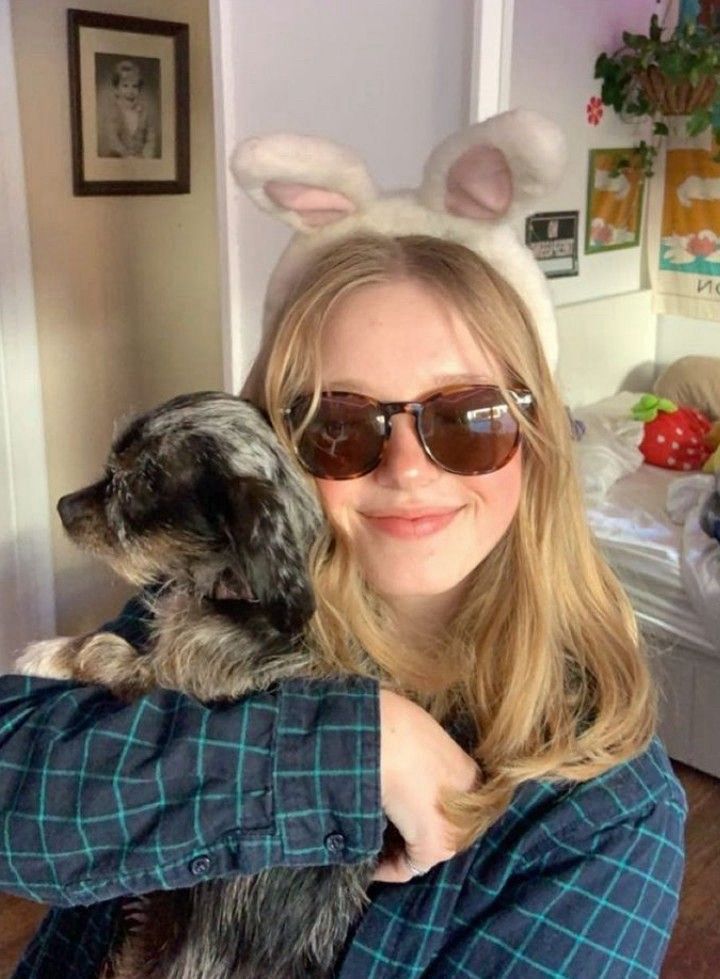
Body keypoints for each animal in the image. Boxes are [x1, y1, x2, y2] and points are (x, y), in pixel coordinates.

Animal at [16, 390, 377, 979]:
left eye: (140, 481)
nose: (64, 506)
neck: (240, 596)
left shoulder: (171, 678)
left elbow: (104, 651)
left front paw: (42, 654)